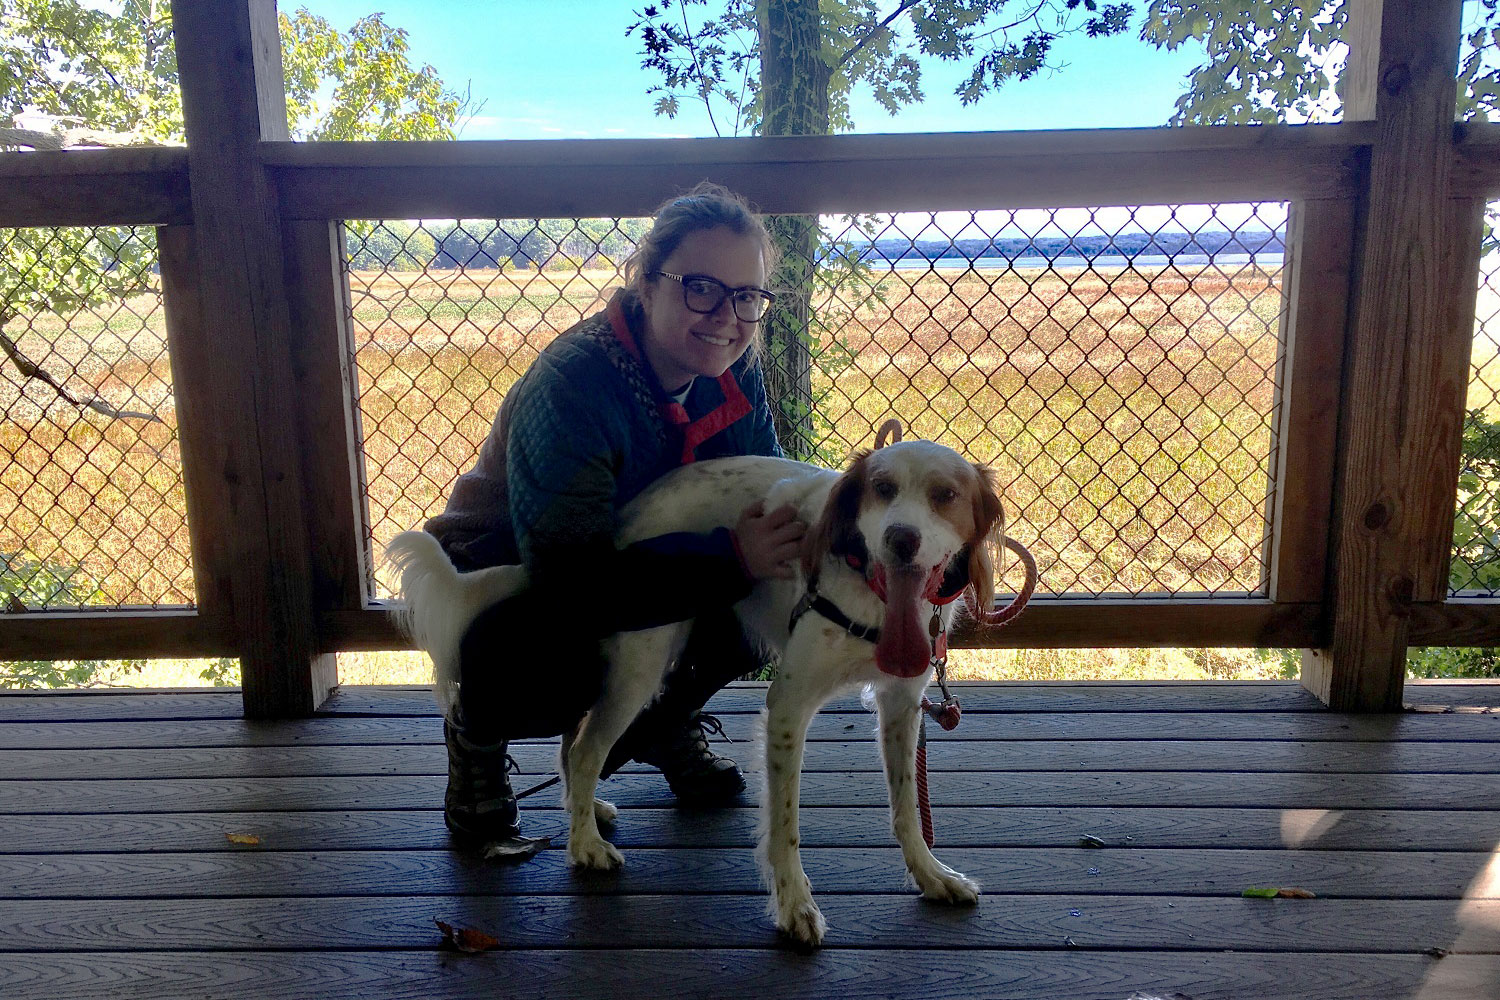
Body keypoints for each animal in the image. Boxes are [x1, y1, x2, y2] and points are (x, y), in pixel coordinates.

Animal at [393, 440, 1014, 953]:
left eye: (945, 495)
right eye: (881, 489)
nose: (900, 539)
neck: (868, 589)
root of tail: (628, 515)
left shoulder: (902, 704)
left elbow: (908, 809)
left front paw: (931, 876)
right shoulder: (788, 708)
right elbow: (784, 828)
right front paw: (794, 907)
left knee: (575, 741)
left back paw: (585, 811)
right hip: (642, 665)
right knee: (589, 747)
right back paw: (584, 845)